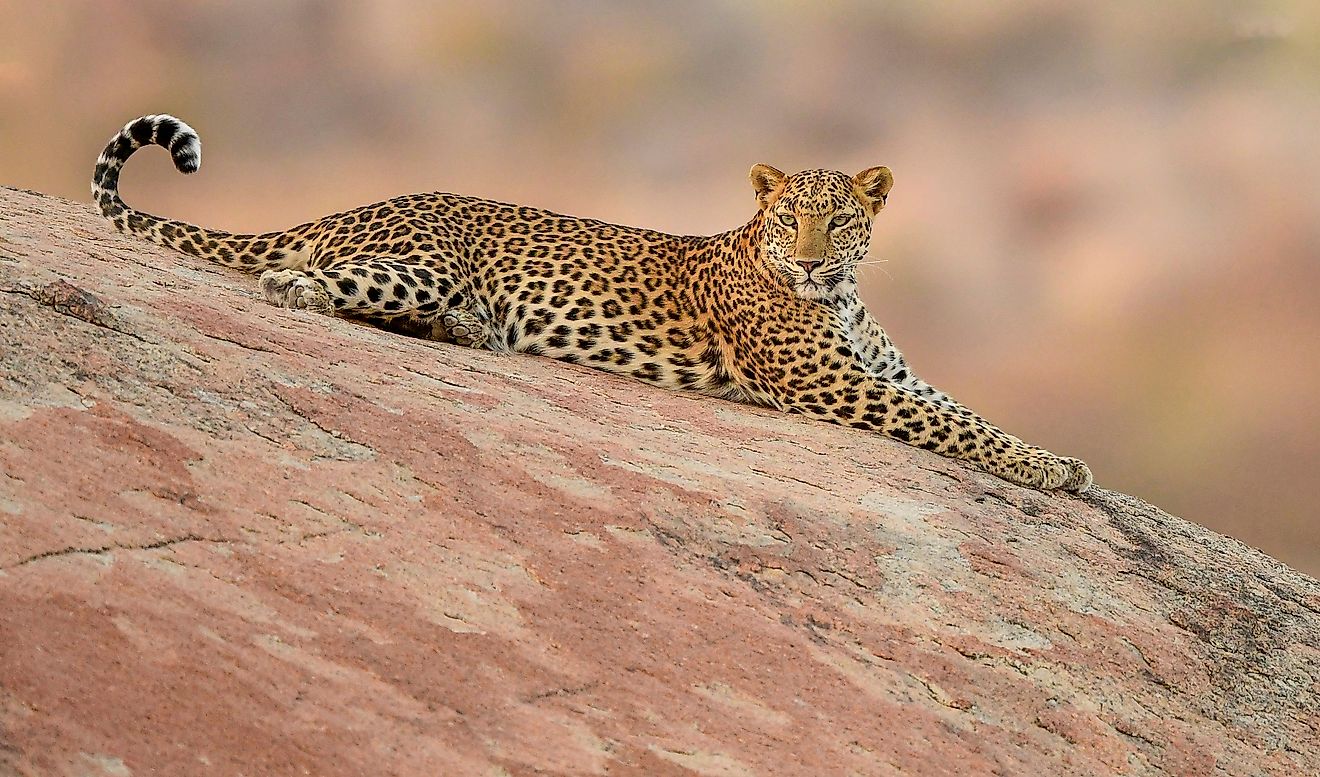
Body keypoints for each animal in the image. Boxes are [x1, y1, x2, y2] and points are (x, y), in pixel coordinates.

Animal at [87, 113, 1087, 490]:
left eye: (839, 222)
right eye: (789, 220)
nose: (808, 264)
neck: (841, 297)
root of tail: (352, 205)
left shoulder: (885, 371)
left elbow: (963, 409)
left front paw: (1061, 460)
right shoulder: (833, 384)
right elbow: (958, 427)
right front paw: (1047, 468)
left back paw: (470, 329)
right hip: (412, 261)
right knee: (293, 282)